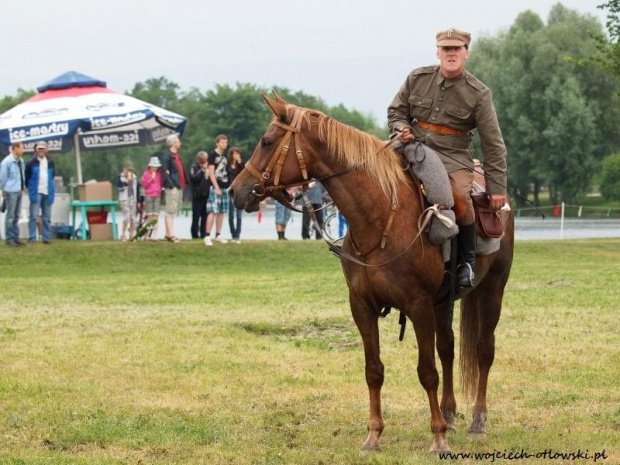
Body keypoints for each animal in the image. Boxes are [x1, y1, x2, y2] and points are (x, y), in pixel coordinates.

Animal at [229, 94, 512, 454]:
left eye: (266, 141)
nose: (235, 191)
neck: (379, 220)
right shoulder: (362, 305)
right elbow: (374, 369)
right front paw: (374, 435)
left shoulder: (418, 306)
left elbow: (427, 372)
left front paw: (437, 439)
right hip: (443, 302)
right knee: (447, 348)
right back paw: (449, 413)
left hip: (492, 289)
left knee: (483, 351)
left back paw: (477, 420)